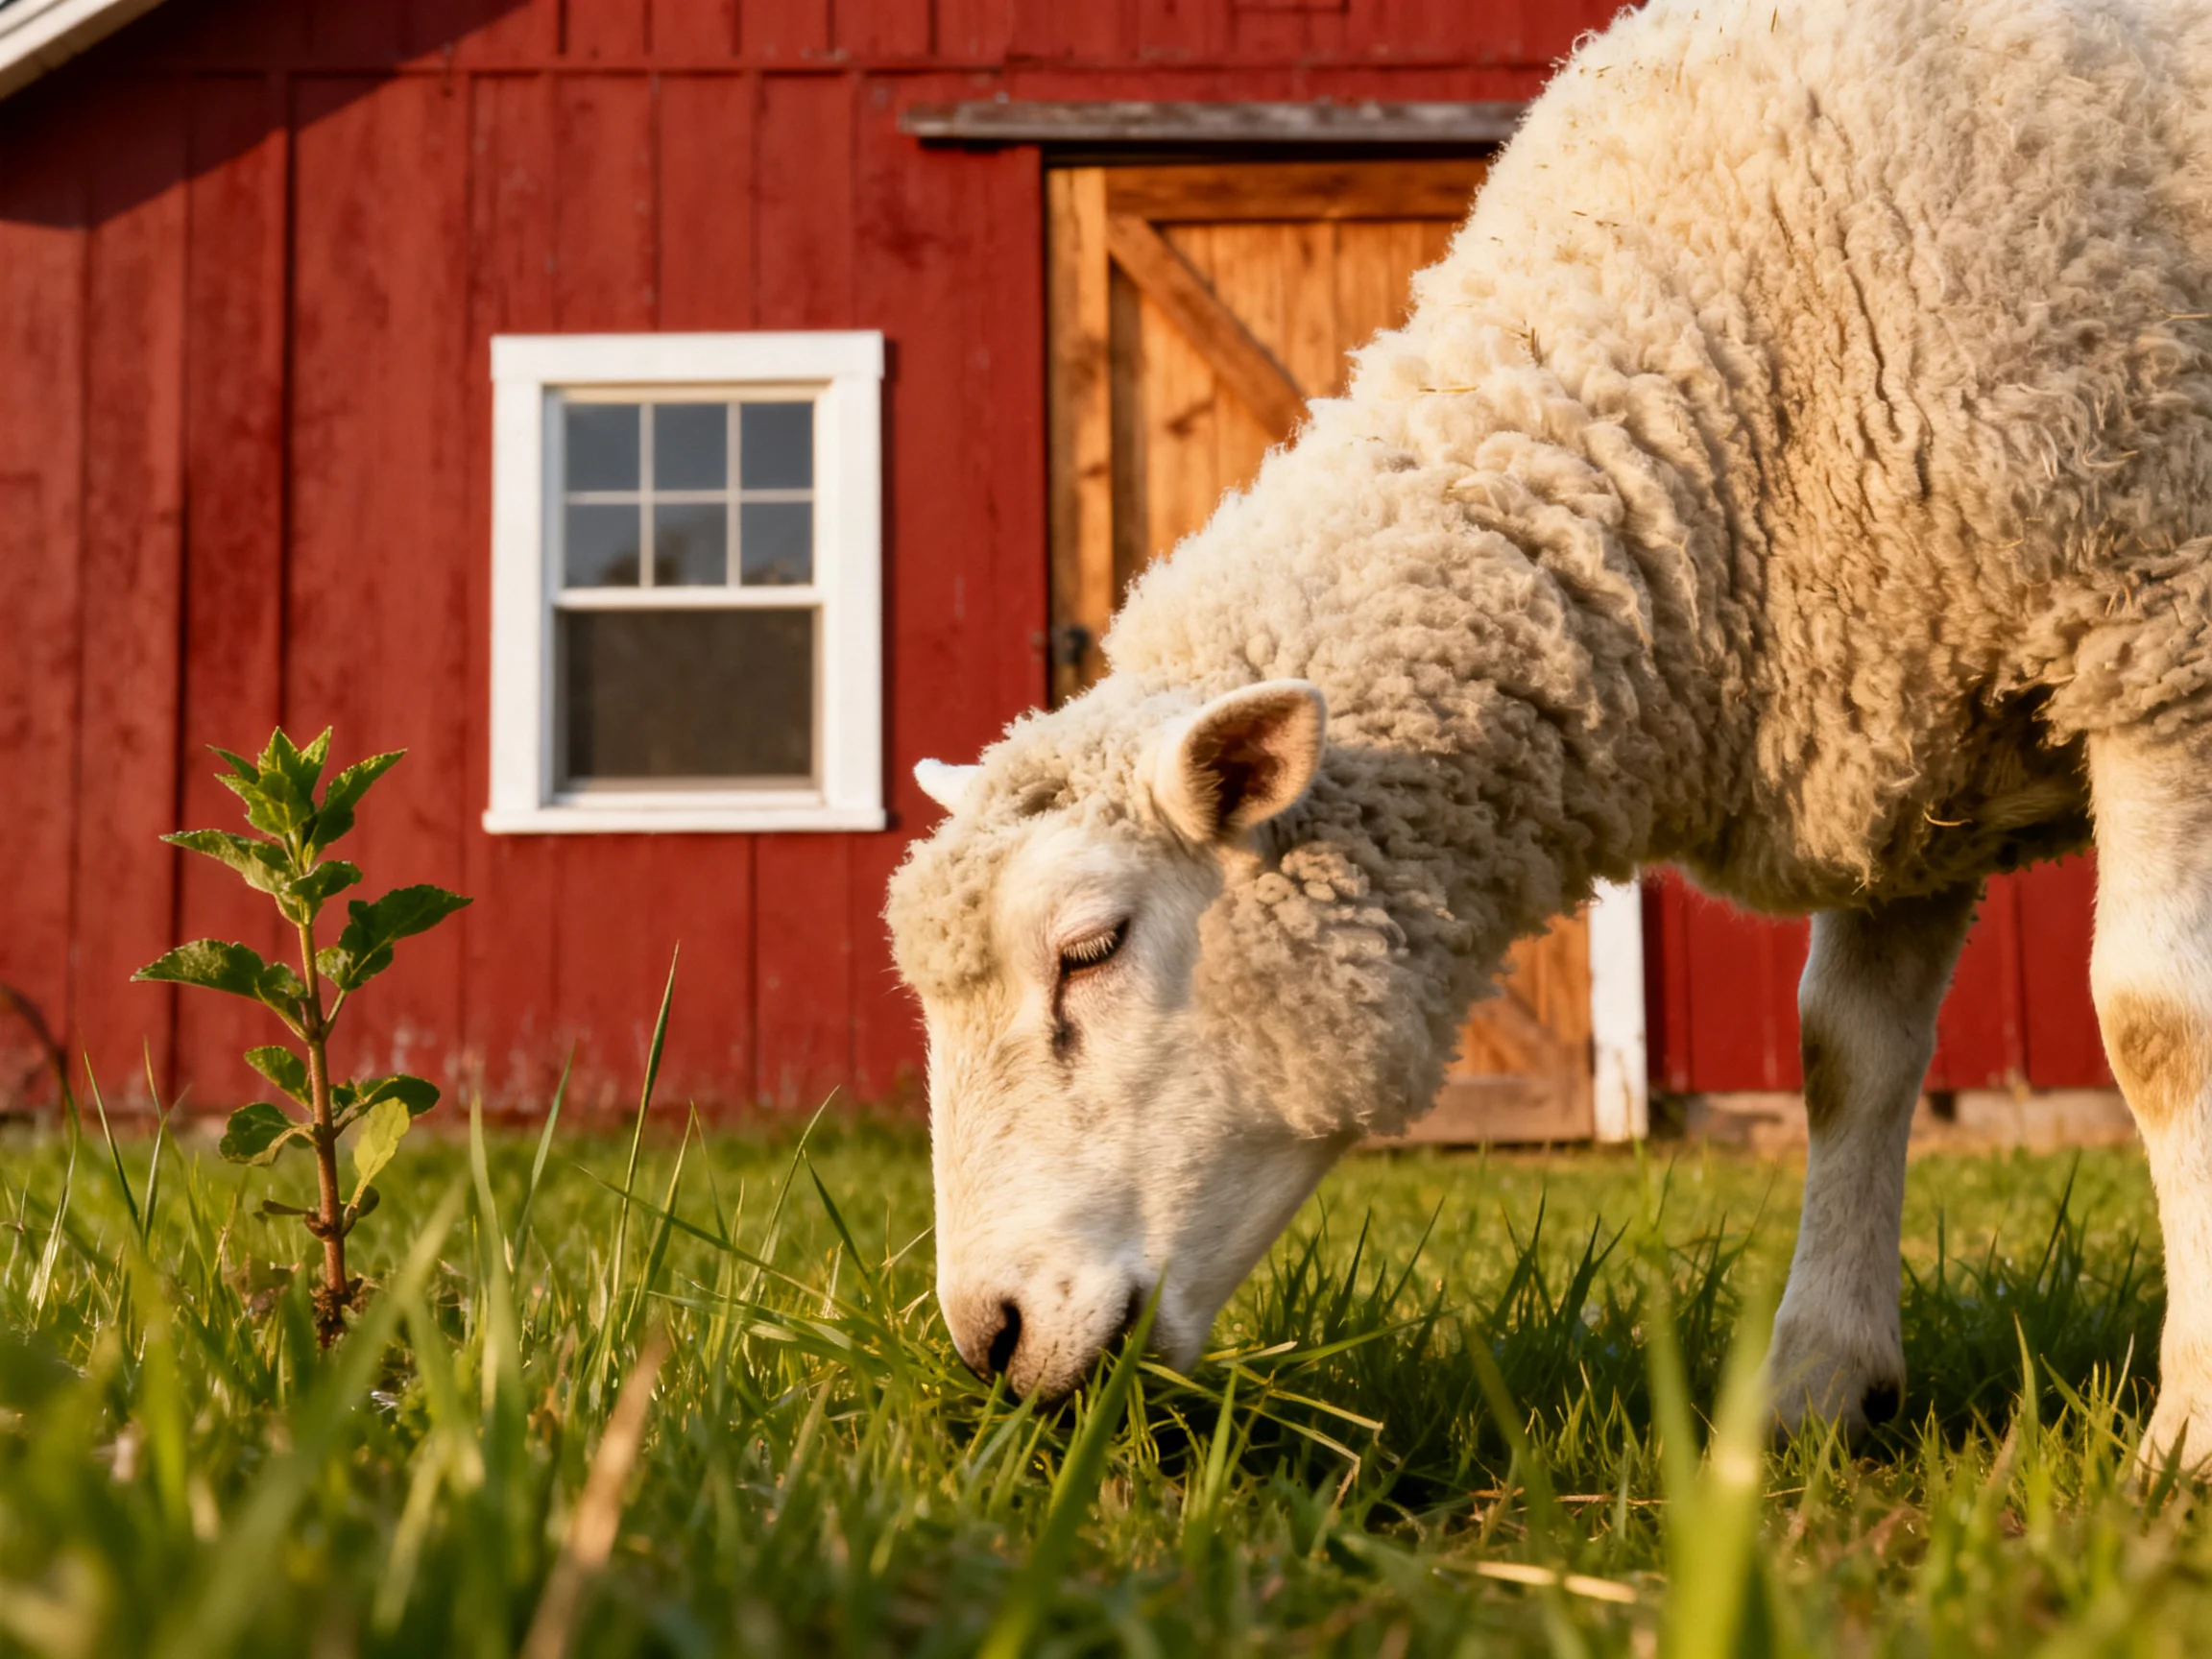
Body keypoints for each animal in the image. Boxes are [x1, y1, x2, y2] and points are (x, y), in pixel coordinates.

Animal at [885, 0, 2212, 1458]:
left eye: (1090, 951)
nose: (988, 1339)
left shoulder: (2159, 636)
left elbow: (2160, 1028)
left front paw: (2188, 1433)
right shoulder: (1904, 729)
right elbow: (1845, 1057)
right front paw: (1810, 1391)